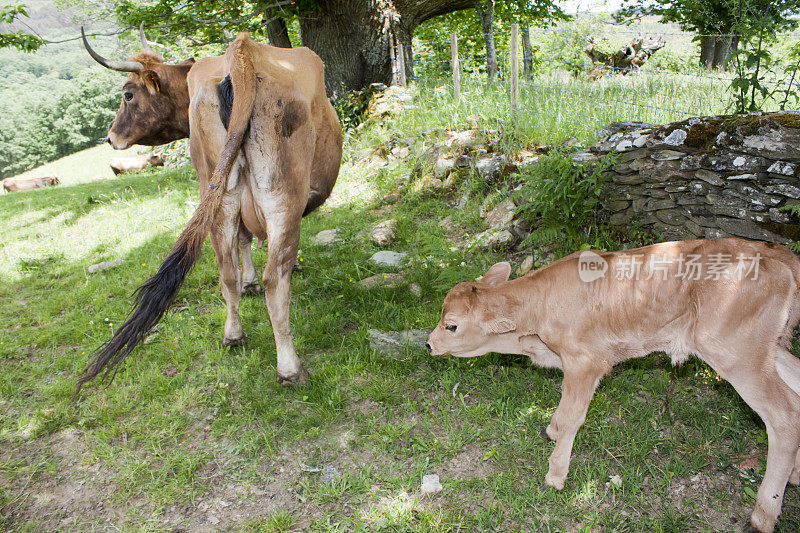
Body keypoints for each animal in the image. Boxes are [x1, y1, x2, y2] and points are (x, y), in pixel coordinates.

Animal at [78, 27, 344, 388]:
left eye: (128, 95)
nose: (110, 137)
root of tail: (242, 52)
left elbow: (242, 242)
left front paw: (247, 283)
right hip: (282, 196)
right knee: (275, 277)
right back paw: (290, 368)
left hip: (219, 194)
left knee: (226, 270)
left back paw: (233, 334)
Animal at [428, 239, 800, 528]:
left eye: (451, 325)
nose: (429, 345)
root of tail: (781, 255)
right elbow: (564, 407)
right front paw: (552, 430)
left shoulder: (585, 361)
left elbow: (573, 414)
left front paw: (555, 475)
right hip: (769, 349)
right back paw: (793, 476)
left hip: (738, 354)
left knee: (784, 416)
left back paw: (764, 513)